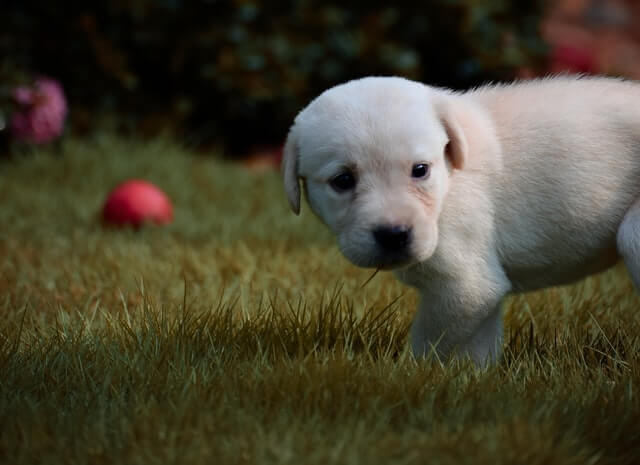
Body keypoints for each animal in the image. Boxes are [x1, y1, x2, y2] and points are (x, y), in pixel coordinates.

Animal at [282, 76, 640, 364]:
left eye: (420, 170)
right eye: (342, 180)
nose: (394, 234)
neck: (448, 180)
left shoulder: (462, 287)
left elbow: (429, 342)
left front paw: (407, 374)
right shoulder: (480, 290)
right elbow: (478, 343)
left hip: (633, 235)